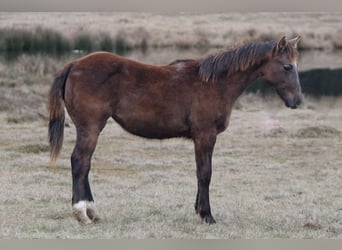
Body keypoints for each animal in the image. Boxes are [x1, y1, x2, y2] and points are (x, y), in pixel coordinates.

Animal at [48, 36, 302, 226]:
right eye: (287, 66)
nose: (297, 101)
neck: (214, 83)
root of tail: (73, 65)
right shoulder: (205, 135)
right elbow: (205, 173)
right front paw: (207, 215)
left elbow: (201, 172)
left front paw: (199, 210)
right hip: (90, 128)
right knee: (80, 162)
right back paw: (82, 213)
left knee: (84, 165)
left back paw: (92, 211)